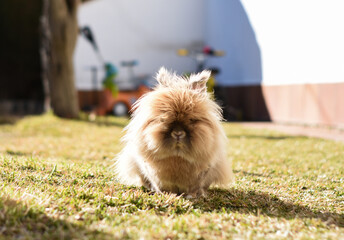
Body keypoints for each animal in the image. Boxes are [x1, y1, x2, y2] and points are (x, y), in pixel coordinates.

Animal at [115, 67, 234, 197]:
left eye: (192, 120)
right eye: (163, 119)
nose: (178, 133)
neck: (177, 155)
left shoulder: (202, 174)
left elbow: (194, 188)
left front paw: (192, 196)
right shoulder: (151, 172)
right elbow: (159, 185)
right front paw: (165, 194)